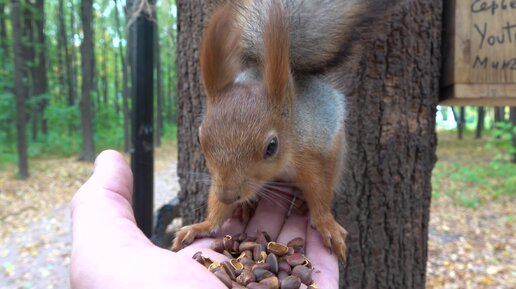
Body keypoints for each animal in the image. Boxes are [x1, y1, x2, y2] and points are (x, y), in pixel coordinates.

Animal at [171, 0, 390, 258]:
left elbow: (320, 192)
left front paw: (326, 224)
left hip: (337, 152)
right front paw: (202, 226)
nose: (228, 195)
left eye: (272, 146)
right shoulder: (219, 179)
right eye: (199, 139)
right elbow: (217, 210)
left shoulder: (310, 157)